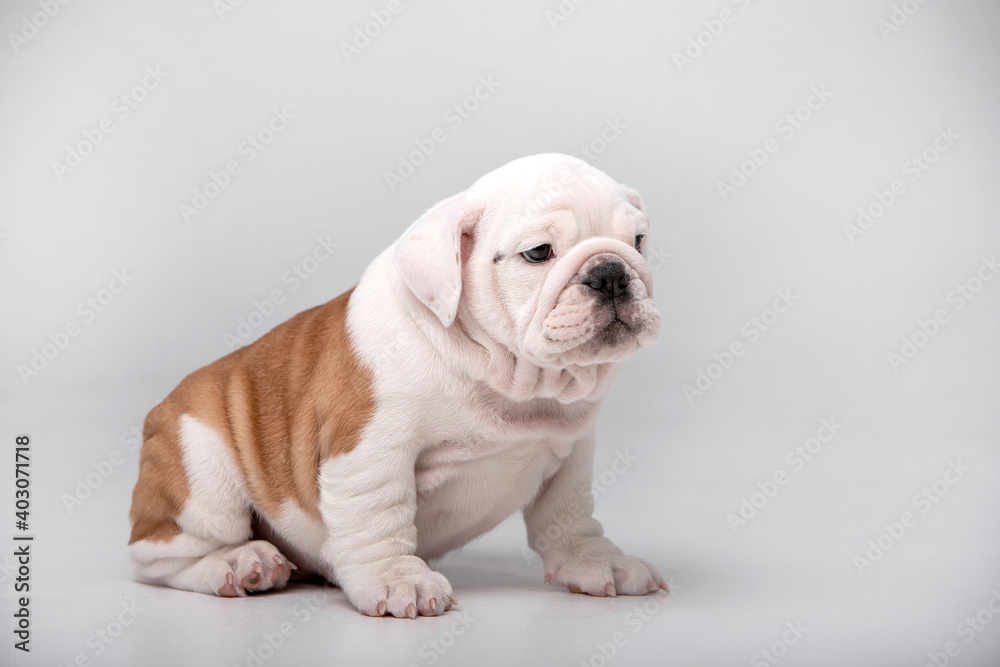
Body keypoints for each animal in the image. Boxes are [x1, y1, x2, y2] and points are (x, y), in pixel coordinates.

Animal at [129, 154, 668, 620]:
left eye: (639, 240)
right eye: (538, 253)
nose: (611, 272)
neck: (514, 382)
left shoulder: (573, 452)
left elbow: (569, 515)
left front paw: (597, 560)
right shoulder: (372, 449)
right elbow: (379, 518)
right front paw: (396, 579)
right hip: (201, 469)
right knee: (158, 555)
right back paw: (237, 564)